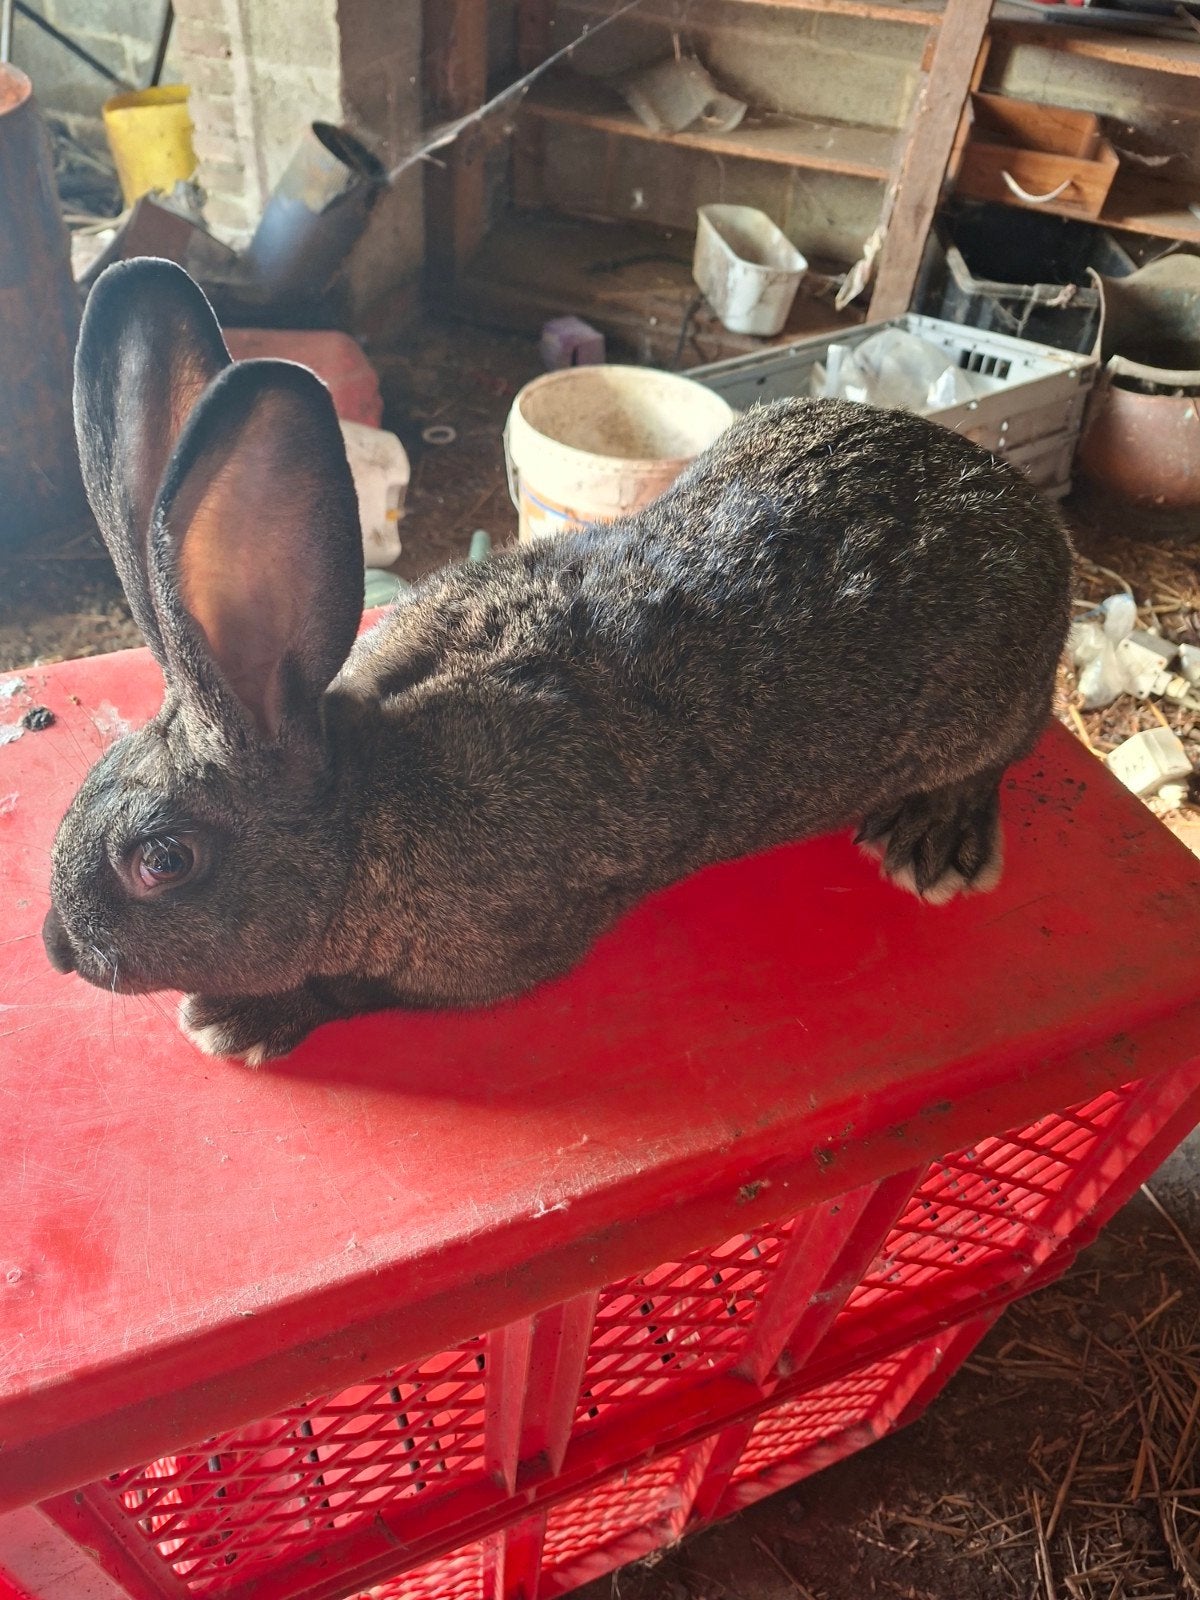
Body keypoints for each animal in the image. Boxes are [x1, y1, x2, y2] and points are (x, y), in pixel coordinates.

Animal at [42, 258, 1074, 1064]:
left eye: (163, 861)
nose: (57, 949)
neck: (359, 814)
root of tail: (1015, 500)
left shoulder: (491, 955)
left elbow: (356, 992)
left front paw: (240, 1018)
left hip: (991, 699)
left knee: (1000, 754)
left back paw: (929, 844)